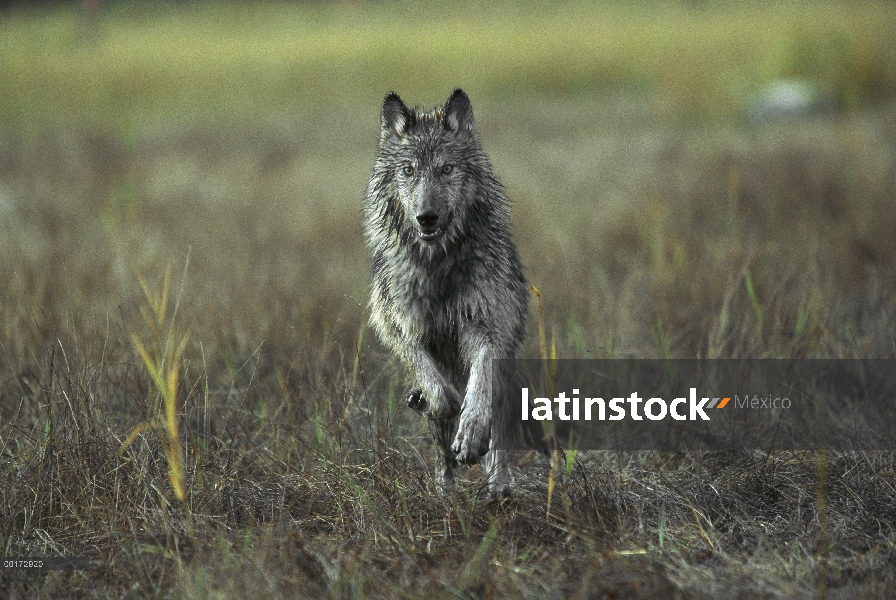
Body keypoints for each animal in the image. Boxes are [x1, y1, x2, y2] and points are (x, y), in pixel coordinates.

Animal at [364, 88, 528, 492]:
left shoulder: (487, 329)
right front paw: (439, 404)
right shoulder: (402, 331)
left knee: (499, 432)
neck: (437, 265)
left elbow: (479, 387)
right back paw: (443, 488)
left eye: (446, 169)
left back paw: (499, 485)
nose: (426, 218)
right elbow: (441, 396)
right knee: (439, 438)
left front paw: (471, 434)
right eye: (408, 171)